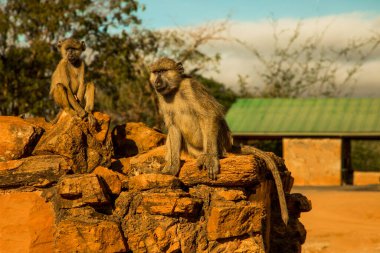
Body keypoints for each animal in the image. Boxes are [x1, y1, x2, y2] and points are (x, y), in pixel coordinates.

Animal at [148, 57, 288, 225]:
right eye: (155, 72)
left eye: (163, 71)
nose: (157, 82)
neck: (174, 90)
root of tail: (229, 145)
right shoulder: (162, 99)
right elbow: (174, 128)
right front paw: (172, 168)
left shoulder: (192, 87)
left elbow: (209, 114)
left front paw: (212, 159)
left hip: (221, 140)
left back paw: (212, 155)